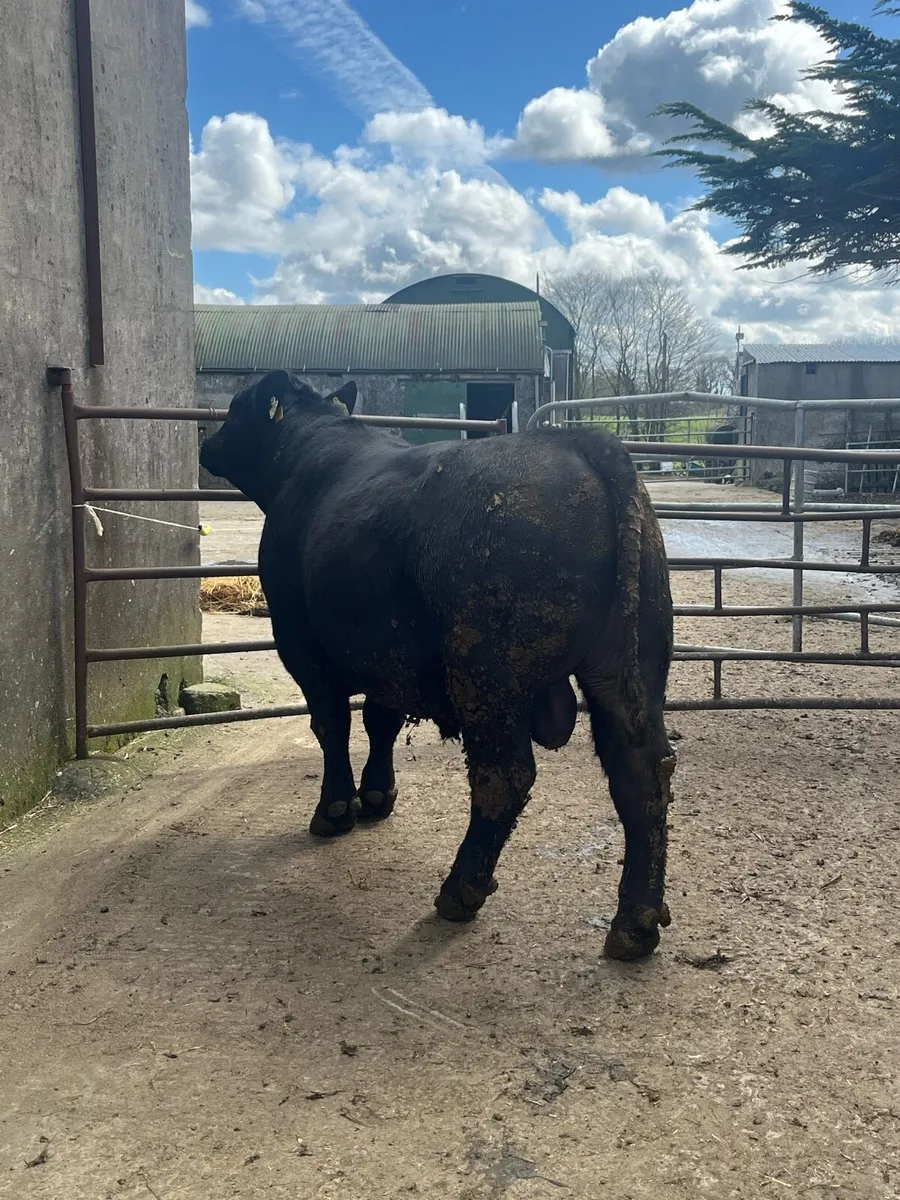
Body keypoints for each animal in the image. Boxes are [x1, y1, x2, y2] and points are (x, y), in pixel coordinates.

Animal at [199, 371, 676, 961]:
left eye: (236, 408)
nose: (207, 443)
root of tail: (583, 444)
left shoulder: (301, 646)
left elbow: (332, 725)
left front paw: (334, 810)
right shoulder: (387, 656)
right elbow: (379, 721)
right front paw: (376, 796)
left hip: (488, 673)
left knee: (504, 776)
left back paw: (461, 889)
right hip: (631, 667)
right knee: (642, 772)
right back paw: (635, 923)